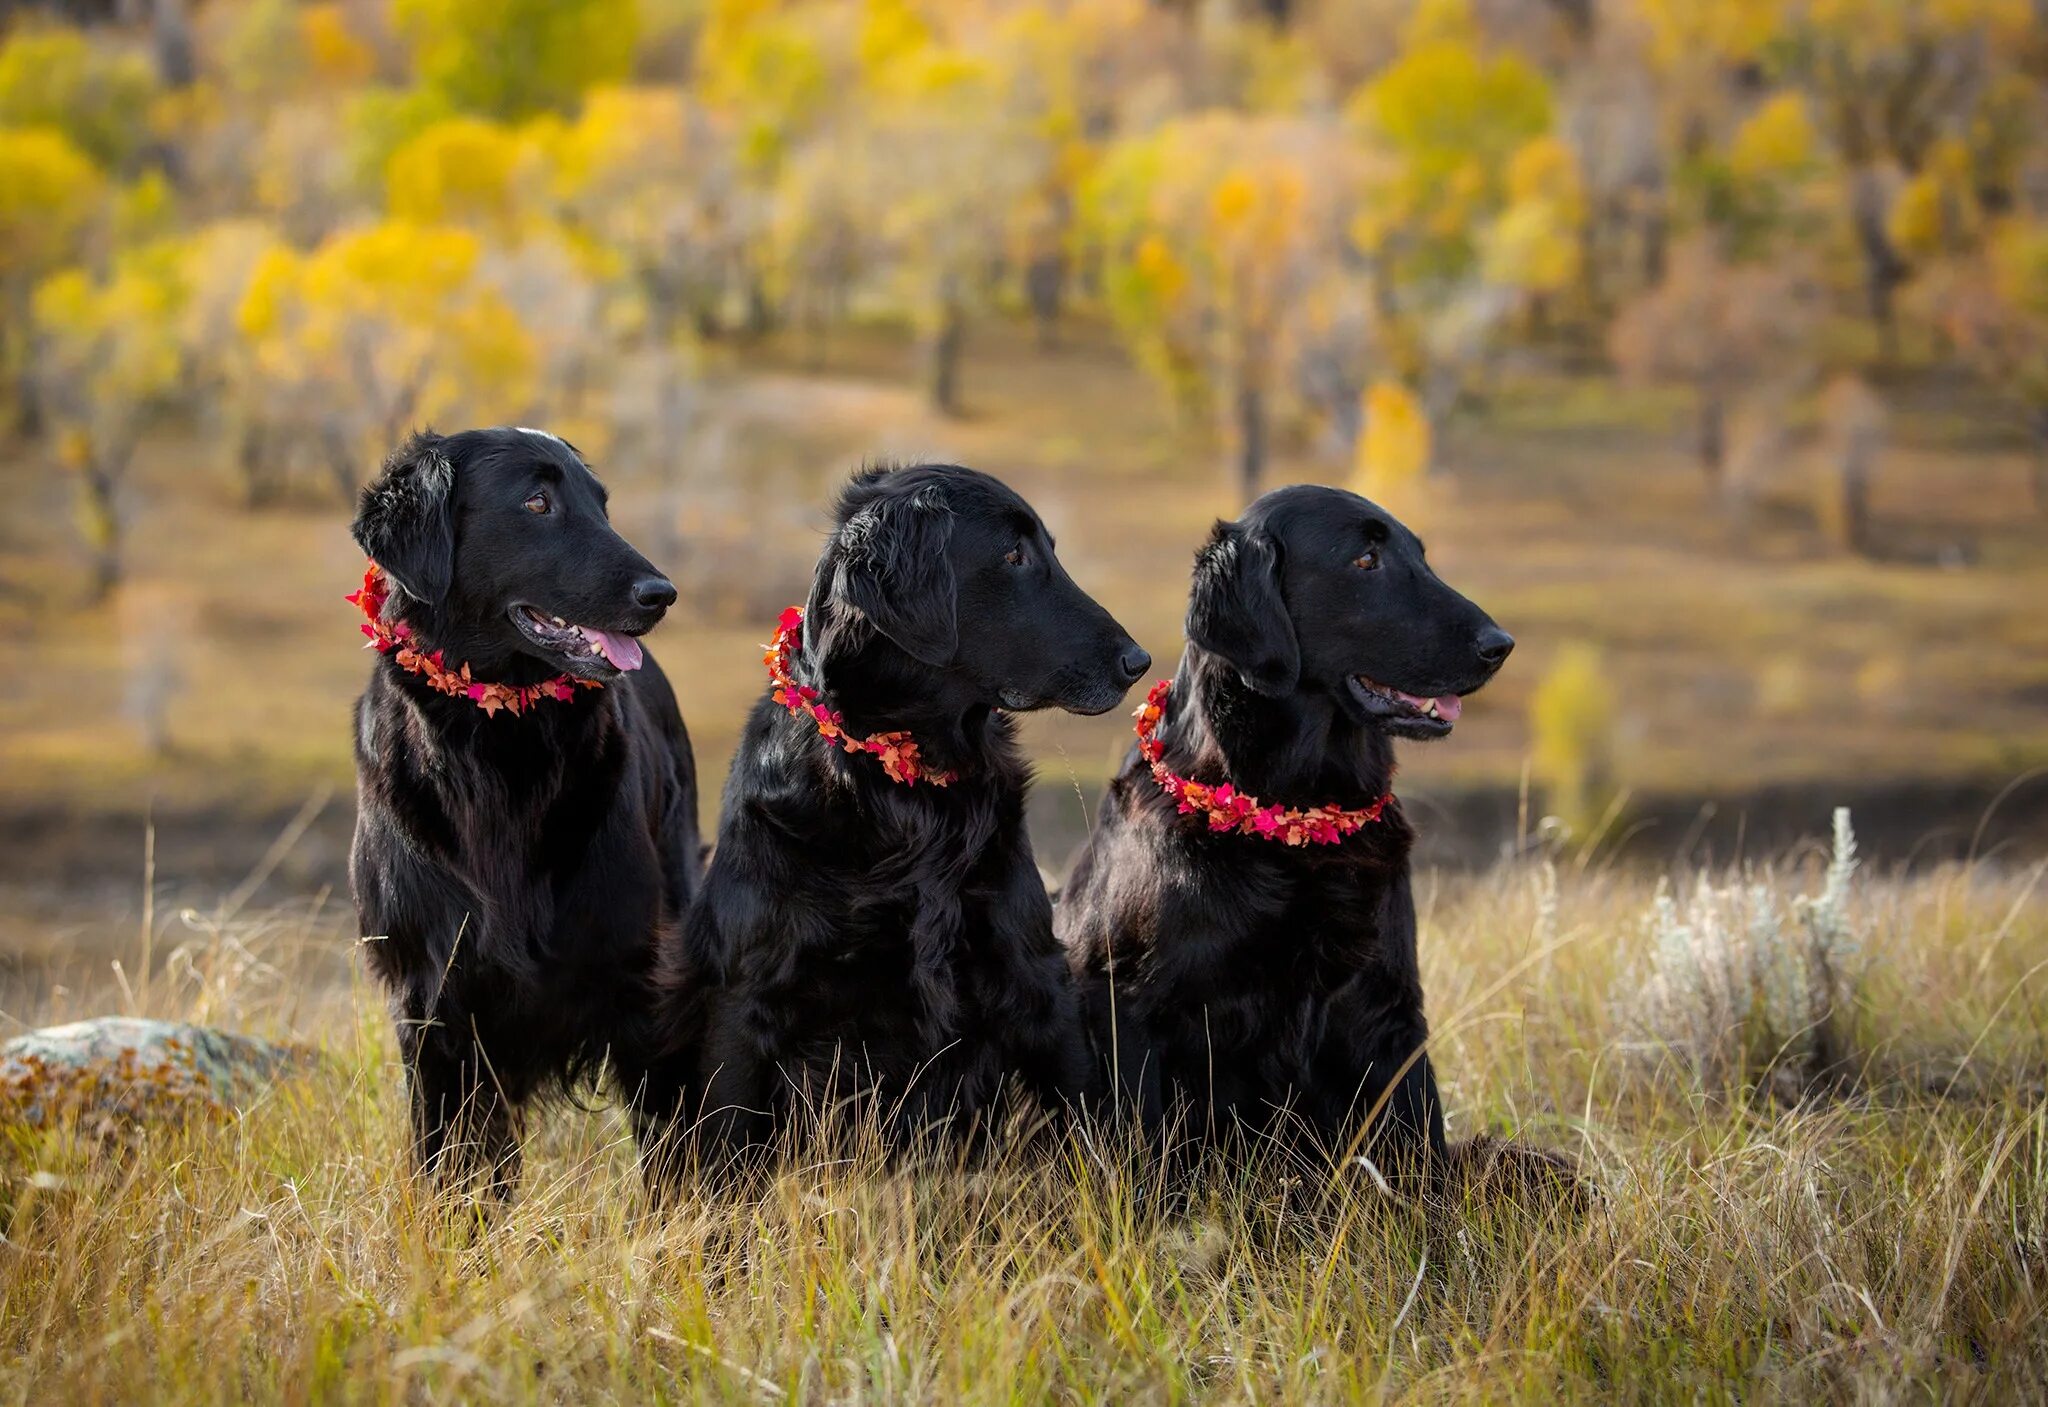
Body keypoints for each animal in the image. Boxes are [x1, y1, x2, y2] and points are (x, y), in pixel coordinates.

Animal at [348, 430, 700, 1196]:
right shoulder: (432, 1007)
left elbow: (671, 1162)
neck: (496, 752)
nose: (661, 594)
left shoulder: (641, 983)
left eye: (602, 505)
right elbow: (445, 1173)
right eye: (537, 503)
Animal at [643, 464, 1146, 1179]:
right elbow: (724, 1147)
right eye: (1014, 556)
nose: (1139, 662)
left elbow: (1090, 1113)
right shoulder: (744, 996)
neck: (909, 794)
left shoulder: (1034, 969)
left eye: (1047, 548)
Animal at [1064, 483, 1515, 1187]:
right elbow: (1143, 1163)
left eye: (1420, 555)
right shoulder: (1127, 1002)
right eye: (1365, 561)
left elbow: (1420, 1149)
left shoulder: (1389, 1008)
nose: (1501, 644)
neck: (1287, 821)